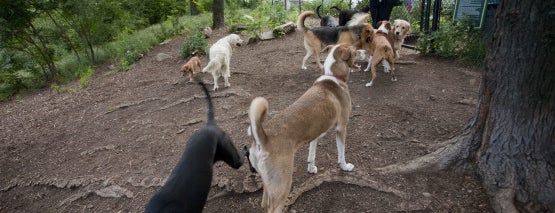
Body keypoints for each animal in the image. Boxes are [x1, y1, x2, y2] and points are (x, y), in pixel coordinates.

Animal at [248, 42, 360, 211]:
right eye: (354, 51)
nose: (363, 50)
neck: (332, 76)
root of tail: (263, 138)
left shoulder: (315, 133)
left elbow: (311, 154)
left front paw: (311, 168)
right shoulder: (341, 128)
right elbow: (341, 153)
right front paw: (345, 166)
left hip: (268, 184)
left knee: (265, 203)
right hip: (283, 185)